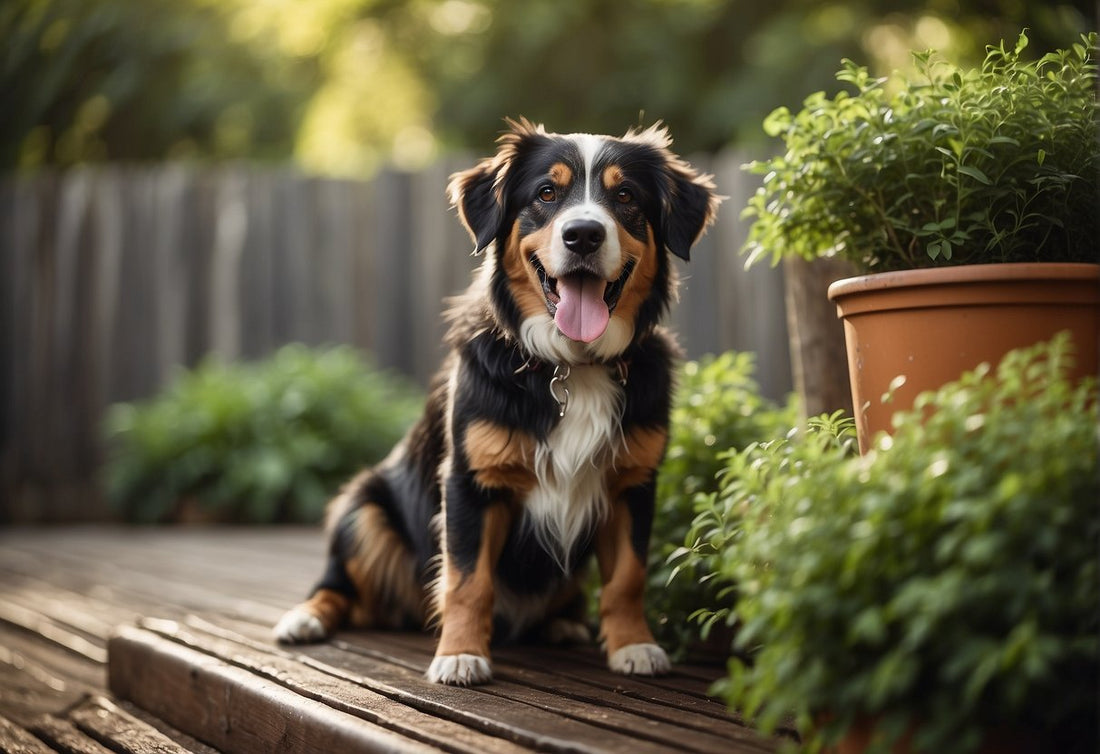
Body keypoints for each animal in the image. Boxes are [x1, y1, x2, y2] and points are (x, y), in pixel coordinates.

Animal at [272, 116, 721, 682]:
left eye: (625, 197)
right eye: (546, 193)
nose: (583, 234)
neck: (571, 366)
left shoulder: (633, 483)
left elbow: (627, 578)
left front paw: (633, 645)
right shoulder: (471, 481)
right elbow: (469, 580)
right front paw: (461, 654)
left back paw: (562, 624)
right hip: (364, 507)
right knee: (338, 585)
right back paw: (305, 617)